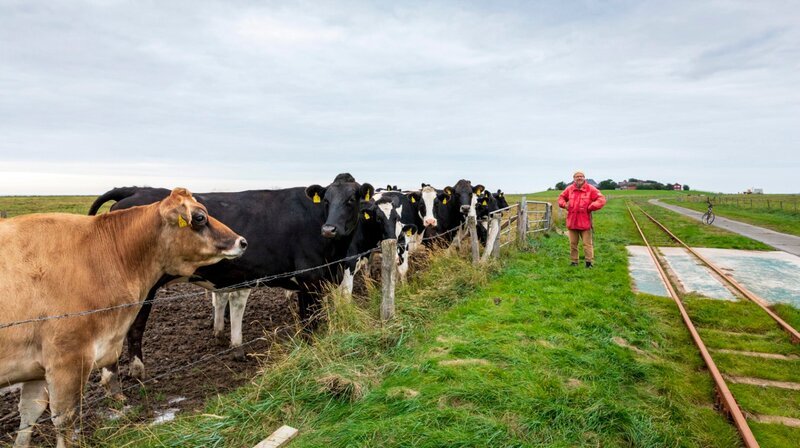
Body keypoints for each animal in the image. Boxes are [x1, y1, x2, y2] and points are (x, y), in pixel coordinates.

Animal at [0, 188, 246, 448]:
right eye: (199, 217)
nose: (242, 241)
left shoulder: (36, 366)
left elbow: (28, 416)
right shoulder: (67, 361)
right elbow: (64, 421)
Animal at [87, 174, 372, 382]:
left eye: (352, 199)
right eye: (326, 200)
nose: (329, 229)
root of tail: (136, 189)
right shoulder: (310, 279)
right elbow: (312, 323)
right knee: (133, 327)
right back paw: (133, 371)